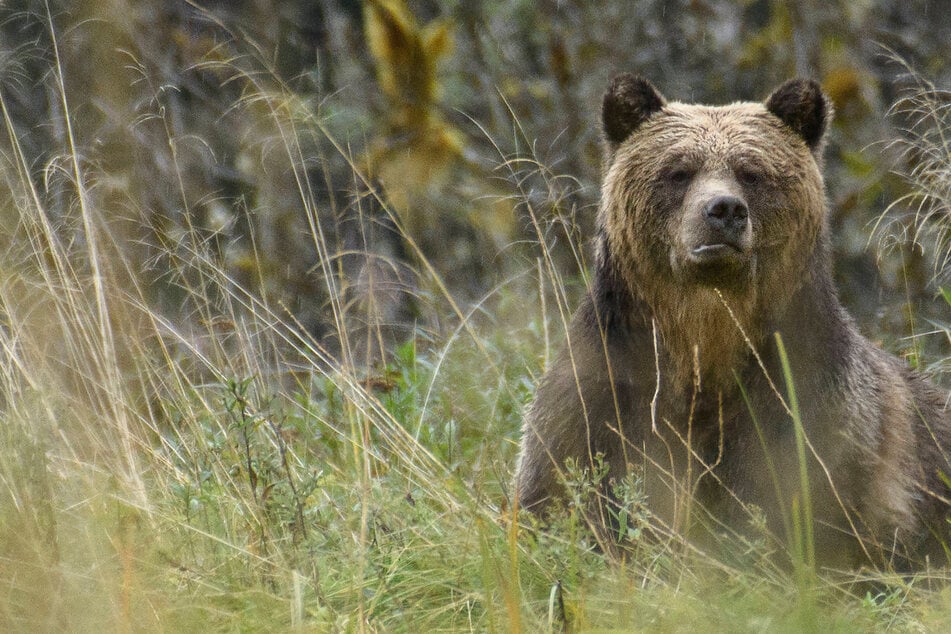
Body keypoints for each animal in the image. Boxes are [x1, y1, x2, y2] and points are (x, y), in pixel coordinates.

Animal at [514, 74, 951, 570]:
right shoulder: (605, 393)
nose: (724, 209)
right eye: (679, 171)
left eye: (751, 171)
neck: (704, 341)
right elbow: (567, 490)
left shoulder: (811, 407)